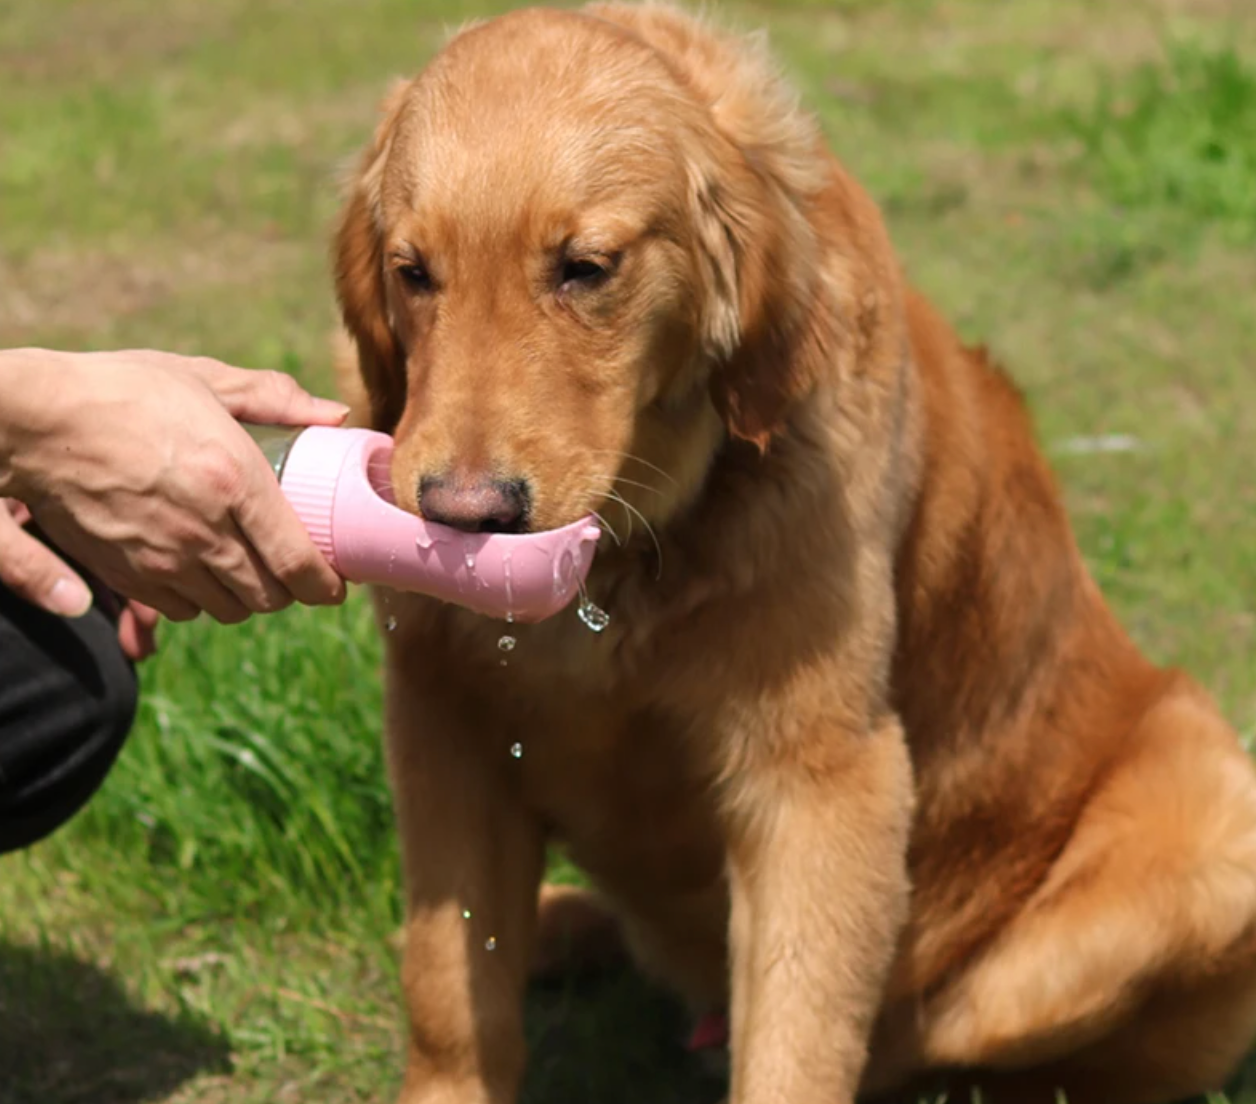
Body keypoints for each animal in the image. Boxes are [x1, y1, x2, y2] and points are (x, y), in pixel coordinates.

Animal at [331, 4, 1256, 1100]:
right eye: (411, 273)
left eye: (585, 267)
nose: (462, 516)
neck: (627, 557)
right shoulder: (443, 721)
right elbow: (449, 991)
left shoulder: (822, 775)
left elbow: (798, 1038)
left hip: (1203, 818)